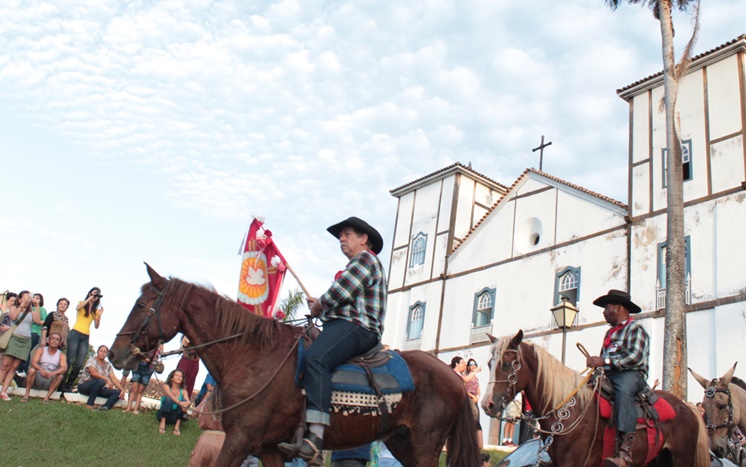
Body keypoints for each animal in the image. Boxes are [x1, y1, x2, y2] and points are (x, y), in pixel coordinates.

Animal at [106, 266, 476, 467]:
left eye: (142, 304)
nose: (115, 354)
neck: (252, 354)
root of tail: (454, 378)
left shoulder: (240, 439)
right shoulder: (269, 447)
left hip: (425, 445)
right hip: (402, 442)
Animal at [480, 330, 708, 466]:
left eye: (508, 364)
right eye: (490, 364)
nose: (487, 405)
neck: (567, 410)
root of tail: (687, 407)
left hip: (681, 458)